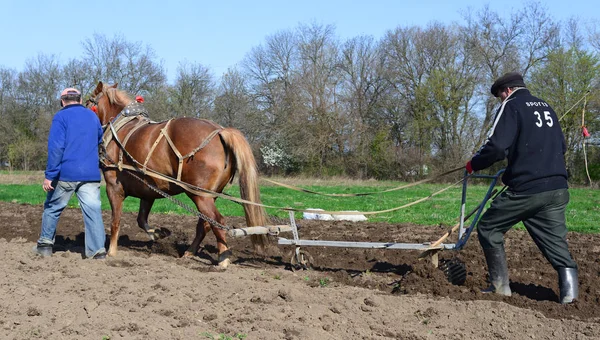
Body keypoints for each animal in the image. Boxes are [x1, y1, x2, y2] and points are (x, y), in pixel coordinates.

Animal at [86, 81, 270, 266]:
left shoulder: (113, 187)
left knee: (218, 222)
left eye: (88, 101)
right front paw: (158, 233)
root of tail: (221, 131)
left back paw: (223, 259)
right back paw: (190, 252)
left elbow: (115, 221)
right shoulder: (148, 190)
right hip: (209, 195)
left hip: (199, 194)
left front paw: (111, 251)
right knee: (205, 223)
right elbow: (141, 219)